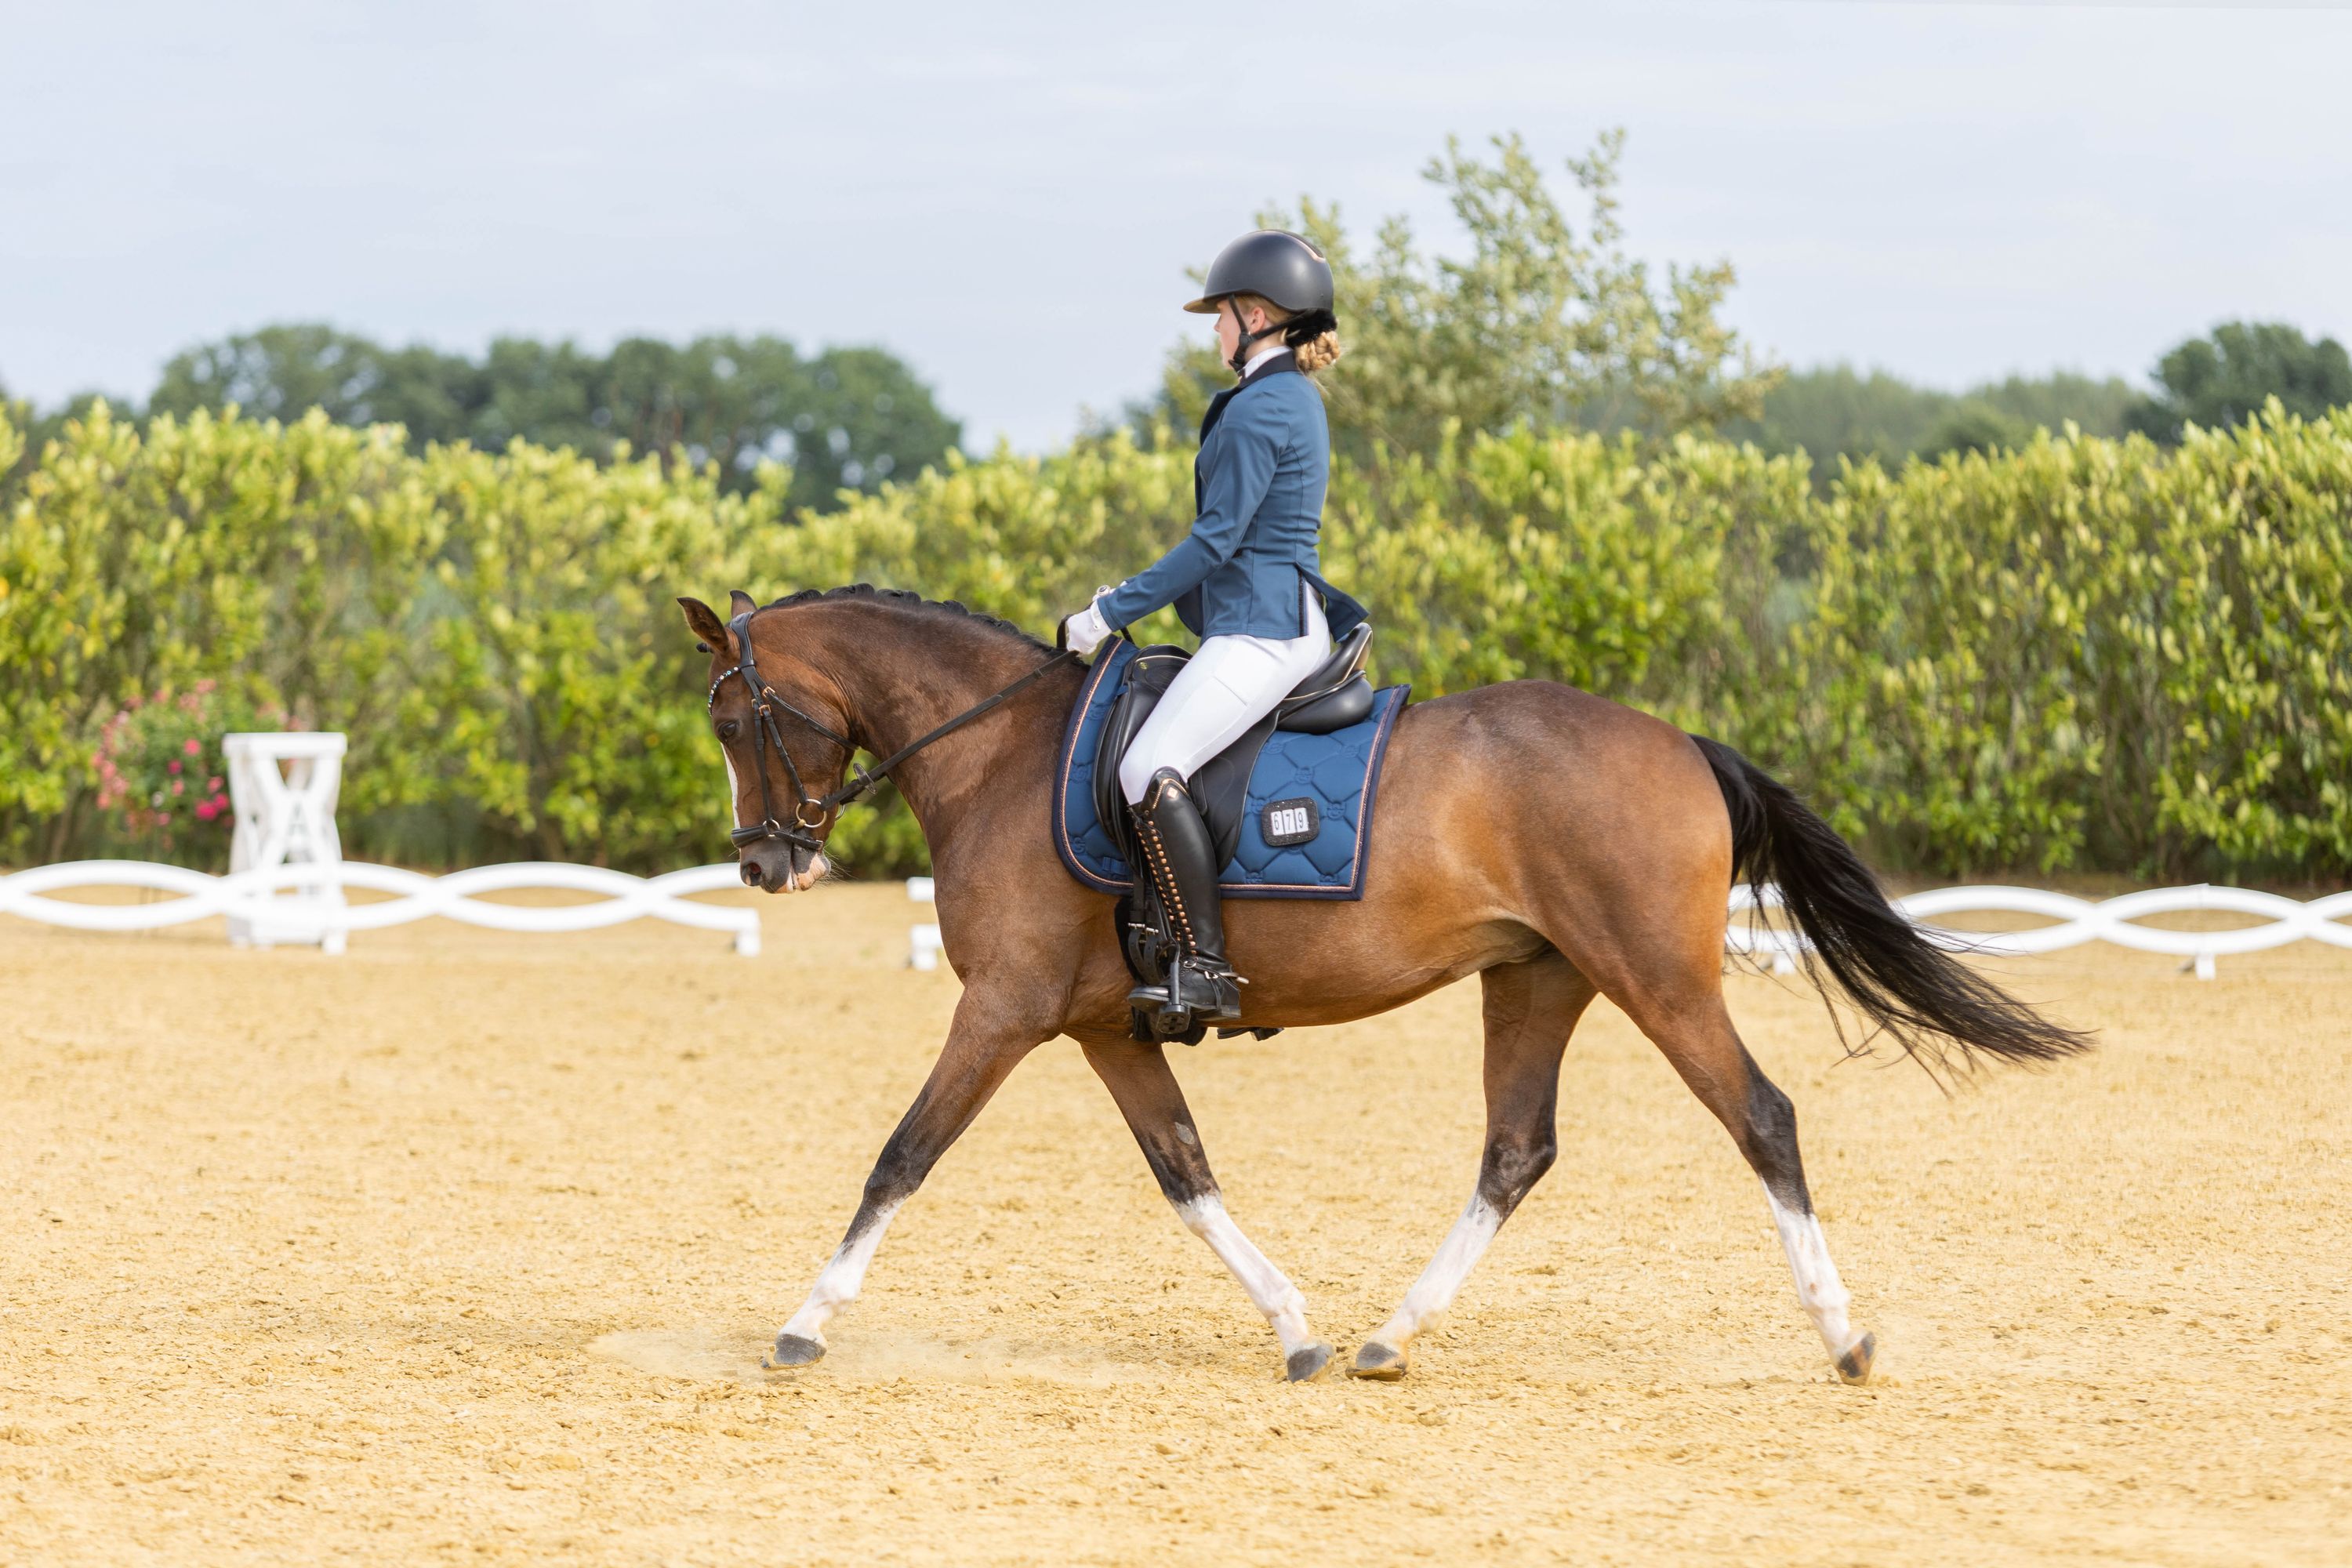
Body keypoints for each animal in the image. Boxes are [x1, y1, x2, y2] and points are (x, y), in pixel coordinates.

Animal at [678, 585, 2088, 1385]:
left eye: (734, 720)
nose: (765, 862)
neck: (1001, 752)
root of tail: (1680, 741)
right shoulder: (1098, 1028)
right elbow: (1185, 1172)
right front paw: (1293, 1327)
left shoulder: (1004, 1012)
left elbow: (900, 1157)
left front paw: (804, 1325)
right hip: (1537, 982)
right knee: (1516, 1151)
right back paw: (1386, 1338)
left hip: (1656, 981)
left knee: (1762, 1119)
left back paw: (1841, 1335)